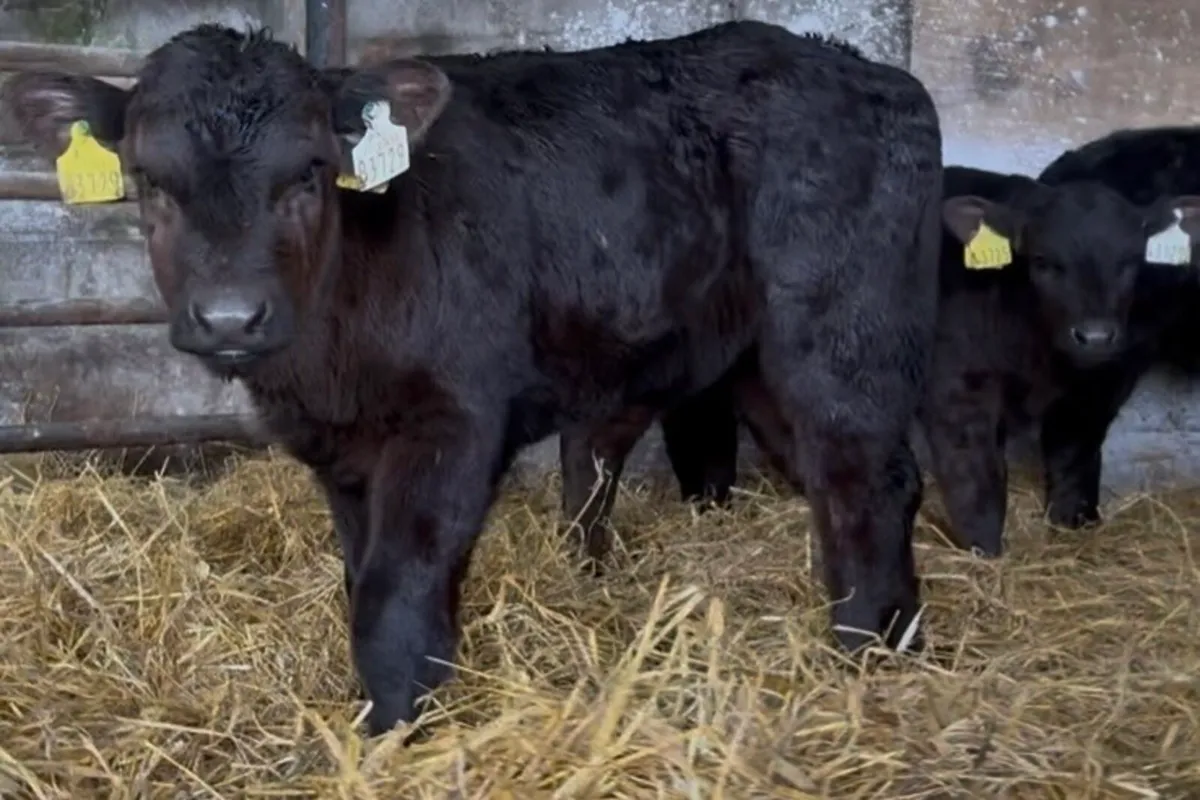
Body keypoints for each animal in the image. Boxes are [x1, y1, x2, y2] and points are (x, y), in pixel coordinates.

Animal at [1, 20, 944, 736]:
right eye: (150, 180)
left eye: (308, 173)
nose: (231, 317)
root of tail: (872, 72)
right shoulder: (341, 451)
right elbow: (364, 577)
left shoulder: (453, 420)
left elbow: (396, 589)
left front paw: (393, 729)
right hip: (755, 358)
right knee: (837, 479)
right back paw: (880, 624)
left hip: (835, 331)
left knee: (871, 475)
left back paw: (866, 645)